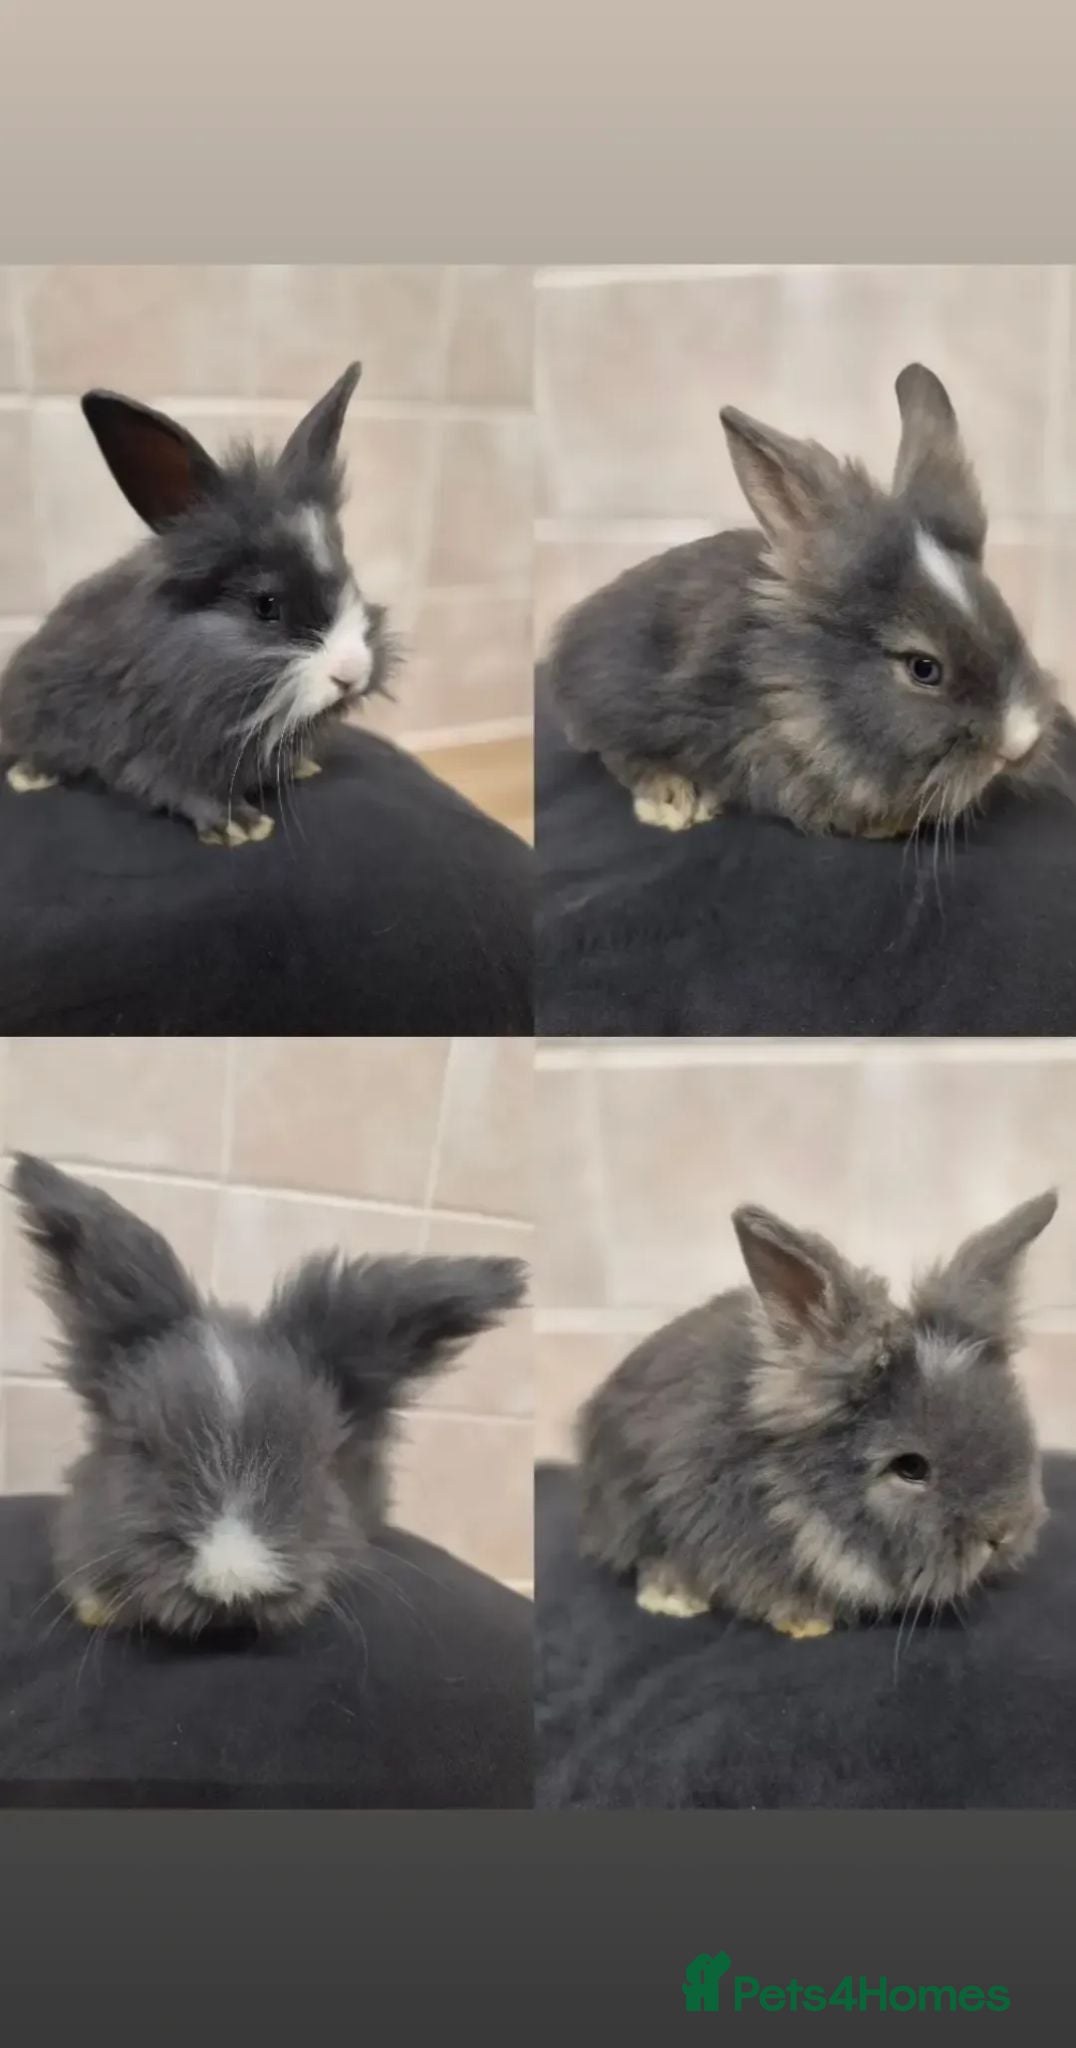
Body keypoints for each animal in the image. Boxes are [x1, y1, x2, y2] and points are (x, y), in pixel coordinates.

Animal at [0, 362, 398, 845]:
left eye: (350, 576)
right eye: (266, 605)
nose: (353, 674)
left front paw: (301, 767)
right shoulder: (155, 748)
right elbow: (186, 790)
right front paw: (244, 826)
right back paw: (30, 776)